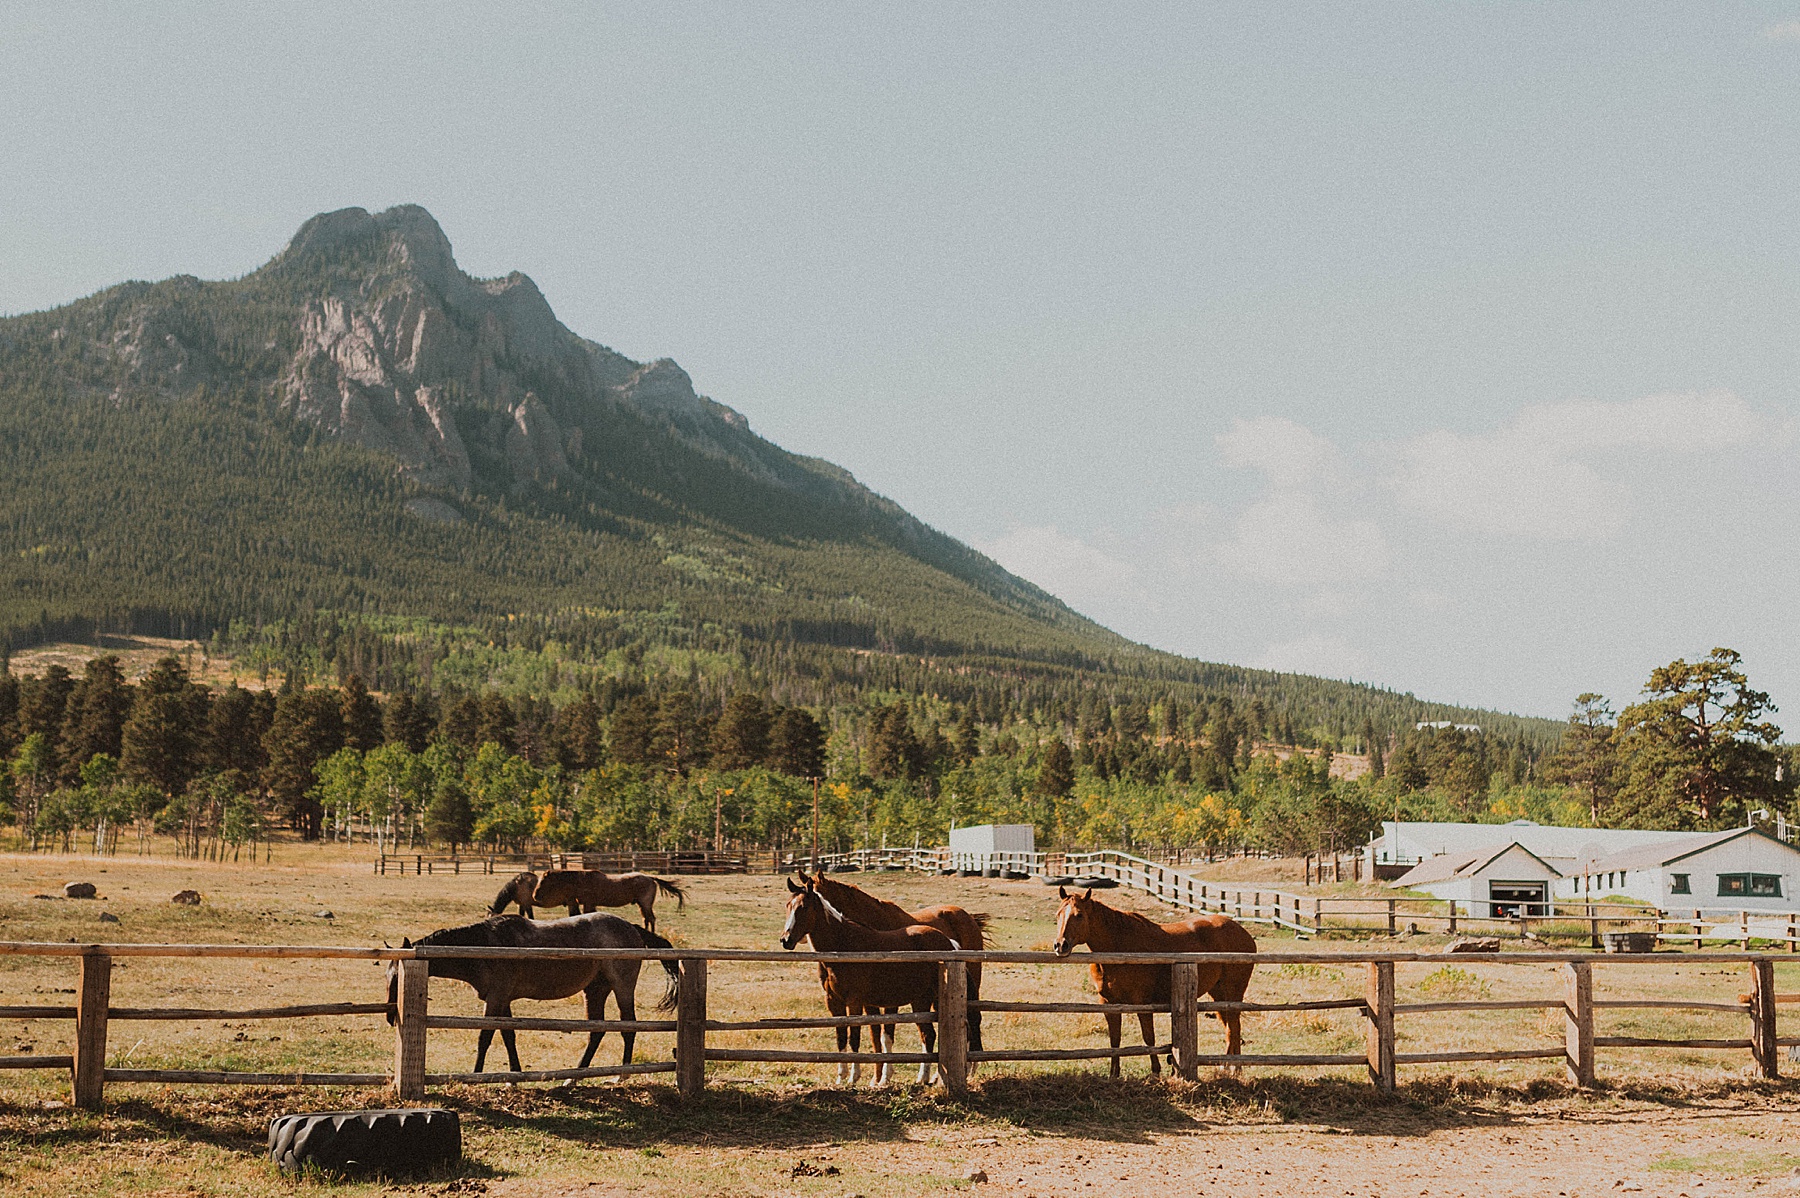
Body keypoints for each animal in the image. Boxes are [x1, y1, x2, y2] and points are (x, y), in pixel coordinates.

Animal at [383, 913, 676, 1072]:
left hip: (622, 988)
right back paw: (574, 1076)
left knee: (628, 1028)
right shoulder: (502, 1001)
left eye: (397, 977)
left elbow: (484, 1038)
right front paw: (514, 1075)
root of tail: (631, 927)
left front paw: (477, 1074)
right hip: (595, 990)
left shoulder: (496, 999)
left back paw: (621, 1074)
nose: (389, 1017)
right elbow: (508, 1036)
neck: (486, 947)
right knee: (596, 1031)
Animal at [489, 867, 684, 935]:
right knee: (647, 919)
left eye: (543, 882)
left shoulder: (589, 903)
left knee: (651, 919)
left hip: (645, 904)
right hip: (642, 905)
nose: (535, 896)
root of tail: (650, 877)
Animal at [784, 877, 964, 1079]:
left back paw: (926, 1078)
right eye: (788, 906)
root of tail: (948, 941)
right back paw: (925, 1078)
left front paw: (853, 1077)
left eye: (803, 907)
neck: (843, 946)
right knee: (929, 1035)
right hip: (921, 1000)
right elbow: (841, 1037)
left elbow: (854, 1037)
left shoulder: (854, 1001)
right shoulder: (834, 1002)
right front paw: (841, 1076)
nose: (786, 940)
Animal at [806, 867, 993, 1057]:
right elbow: (874, 1034)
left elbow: (886, 1034)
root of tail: (968, 917)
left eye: (818, 896)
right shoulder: (868, 1000)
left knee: (973, 1020)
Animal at [1051, 885, 1260, 1072]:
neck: (1120, 947)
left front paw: (1155, 1071)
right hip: (1218, 994)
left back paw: (1232, 1068)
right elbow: (1114, 1040)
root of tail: (1244, 933)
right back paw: (1231, 1067)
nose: (1060, 945)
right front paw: (1114, 1074)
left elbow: (1148, 1037)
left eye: (1079, 915)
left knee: (1233, 1027)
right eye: (1058, 915)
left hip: (1232, 992)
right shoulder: (1109, 1003)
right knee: (1230, 1027)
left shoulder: (1141, 1002)